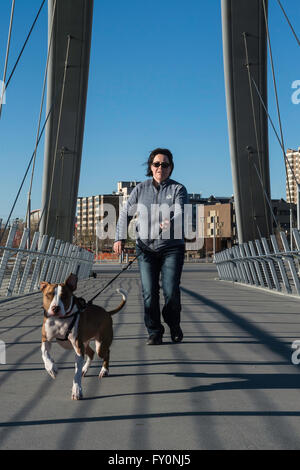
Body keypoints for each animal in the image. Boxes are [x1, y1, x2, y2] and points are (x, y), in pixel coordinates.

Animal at [40, 272, 126, 400]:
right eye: (48, 294)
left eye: (64, 296)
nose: (55, 308)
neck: (60, 320)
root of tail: (107, 313)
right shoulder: (46, 339)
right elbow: (45, 354)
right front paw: (52, 369)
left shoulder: (78, 348)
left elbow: (76, 373)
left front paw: (76, 390)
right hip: (85, 343)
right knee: (91, 353)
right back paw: (84, 370)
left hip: (100, 344)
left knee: (105, 353)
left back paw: (104, 370)